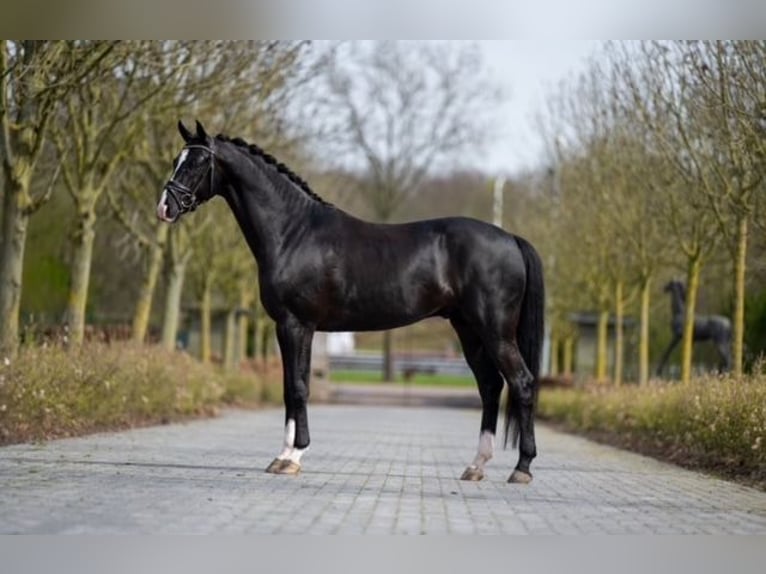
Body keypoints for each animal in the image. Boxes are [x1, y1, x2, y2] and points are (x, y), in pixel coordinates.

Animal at [157, 120, 545, 484]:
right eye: (177, 160)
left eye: (197, 163)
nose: (164, 207)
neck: (294, 233)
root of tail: (510, 238)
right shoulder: (291, 327)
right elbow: (289, 386)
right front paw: (283, 455)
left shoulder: (297, 324)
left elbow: (298, 387)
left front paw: (293, 456)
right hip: (468, 330)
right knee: (491, 386)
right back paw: (476, 465)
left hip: (495, 331)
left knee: (521, 382)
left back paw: (522, 468)